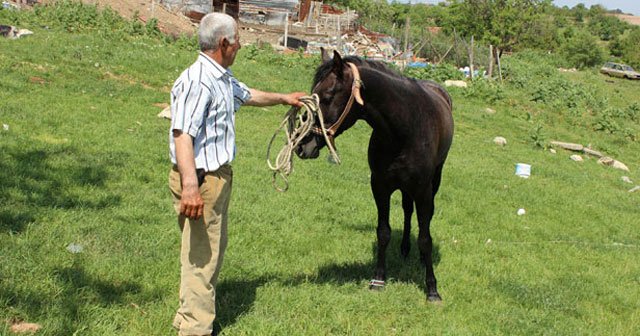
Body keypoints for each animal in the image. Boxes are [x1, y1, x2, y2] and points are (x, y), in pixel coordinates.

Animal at [296, 50, 456, 302]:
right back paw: (404, 249)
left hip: (434, 180)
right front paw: (378, 279)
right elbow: (383, 232)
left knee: (425, 217)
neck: (404, 128)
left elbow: (425, 238)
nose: (303, 145)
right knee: (407, 210)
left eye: (328, 95)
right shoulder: (379, 185)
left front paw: (432, 289)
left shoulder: (422, 189)